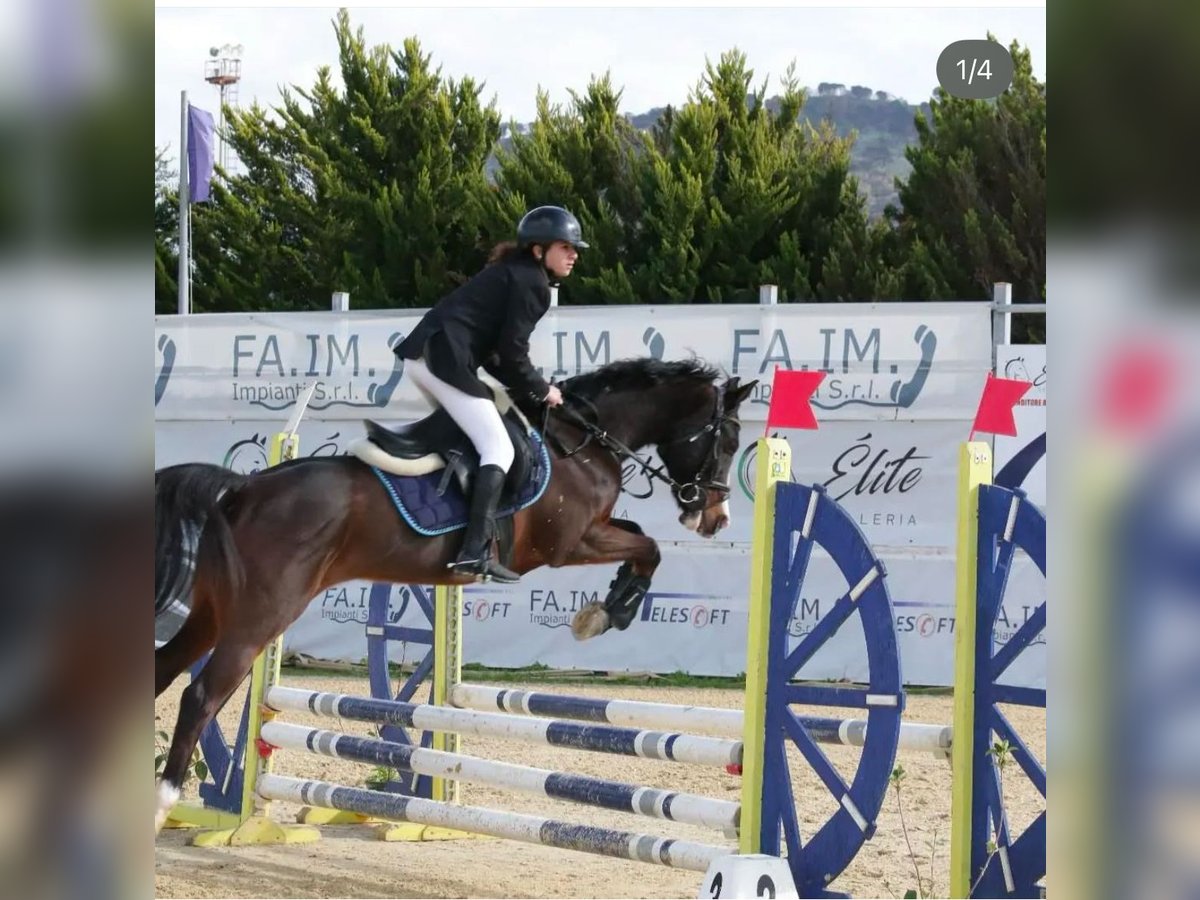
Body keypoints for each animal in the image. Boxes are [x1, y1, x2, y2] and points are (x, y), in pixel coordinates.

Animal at [154, 360, 753, 830]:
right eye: (726, 440)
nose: (716, 519)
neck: (580, 442)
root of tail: (243, 488)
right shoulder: (570, 542)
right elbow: (648, 547)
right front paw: (608, 614)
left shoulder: (592, 532)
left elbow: (640, 540)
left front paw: (605, 607)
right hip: (262, 616)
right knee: (200, 695)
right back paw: (163, 803)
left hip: (211, 614)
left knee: (164, 671)